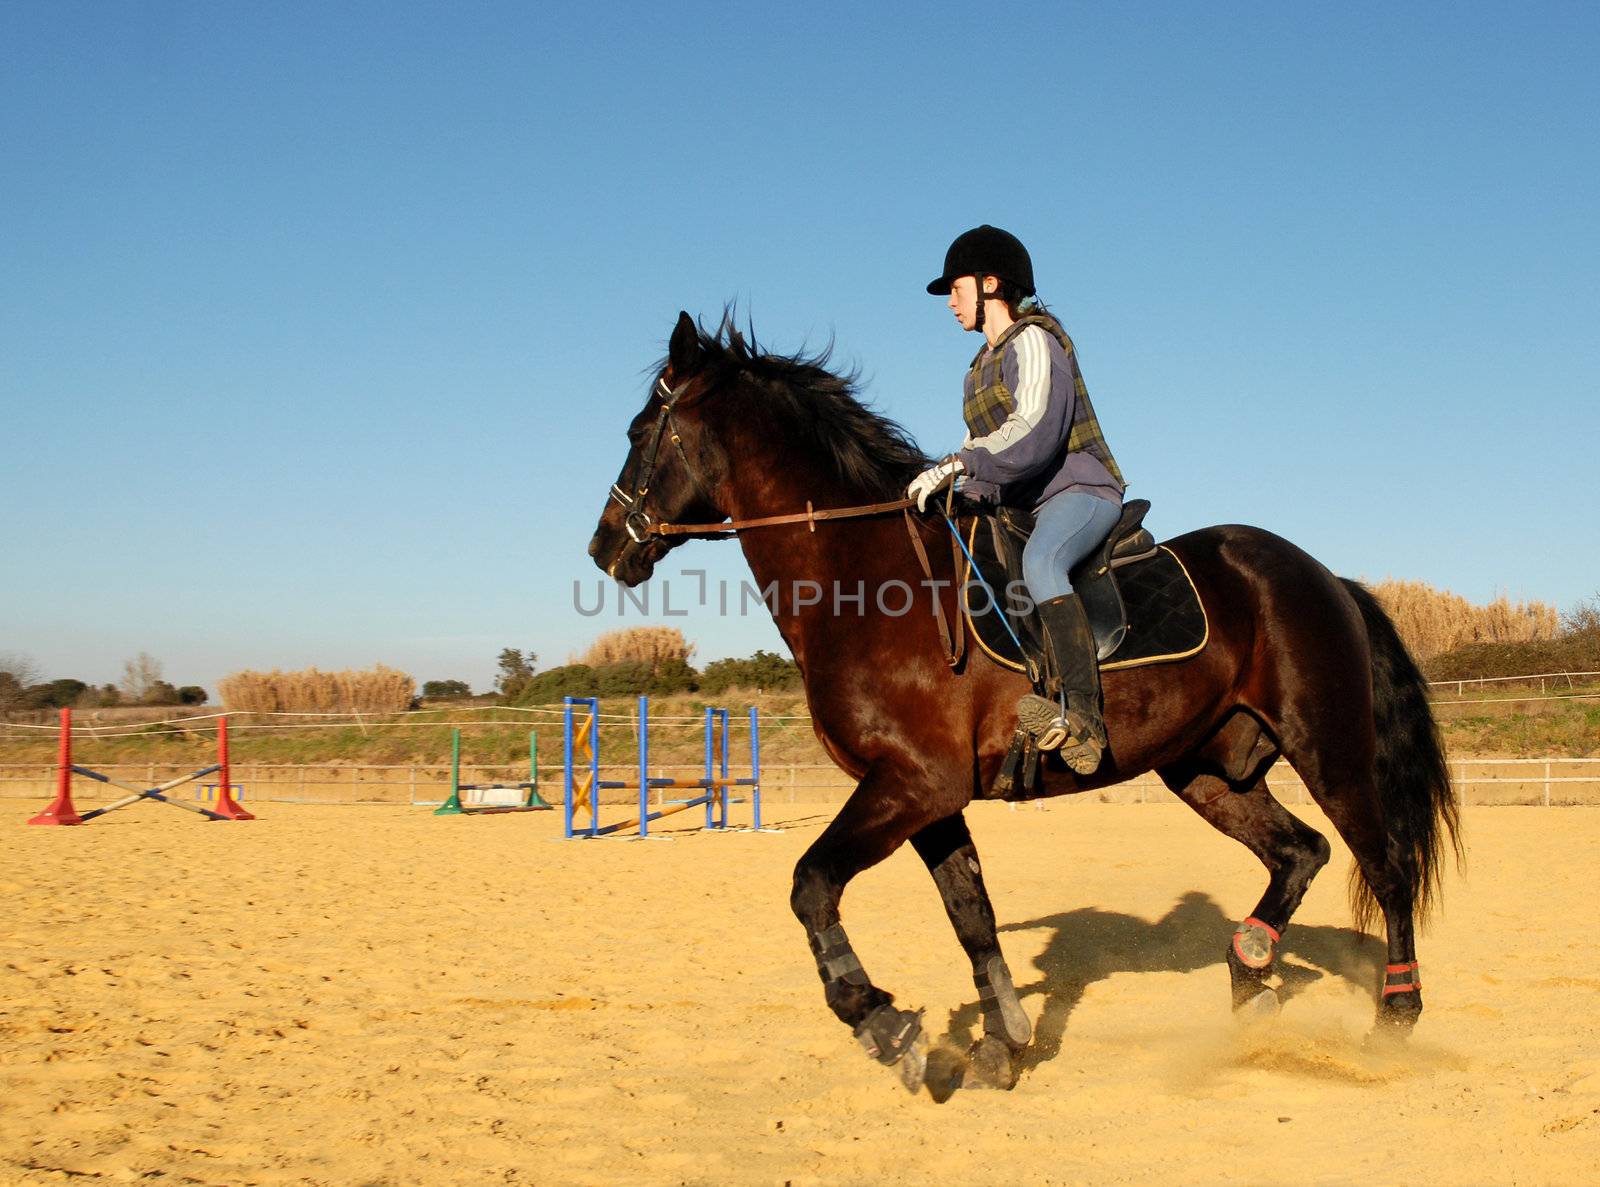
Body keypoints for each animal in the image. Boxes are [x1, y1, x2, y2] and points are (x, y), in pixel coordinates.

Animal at [588, 313, 1465, 1094]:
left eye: (640, 429)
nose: (604, 548)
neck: (864, 579)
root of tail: (1323, 575)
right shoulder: (929, 797)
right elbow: (971, 915)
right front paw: (1001, 1044)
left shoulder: (912, 784)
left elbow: (812, 884)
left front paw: (885, 1024)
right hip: (1210, 770)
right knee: (1299, 852)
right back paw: (1250, 978)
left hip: (1330, 751)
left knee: (1384, 866)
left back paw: (1395, 1013)